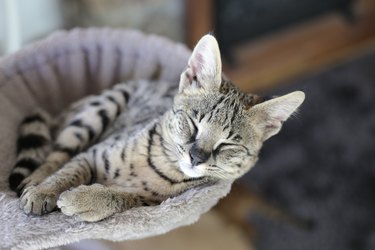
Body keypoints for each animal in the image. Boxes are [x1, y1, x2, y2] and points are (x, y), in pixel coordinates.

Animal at [8, 34, 306, 222]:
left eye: (227, 145)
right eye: (193, 124)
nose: (196, 157)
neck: (162, 163)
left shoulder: (150, 202)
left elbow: (119, 196)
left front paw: (86, 200)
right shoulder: (92, 153)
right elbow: (68, 171)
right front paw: (45, 191)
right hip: (100, 108)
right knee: (55, 155)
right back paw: (34, 181)